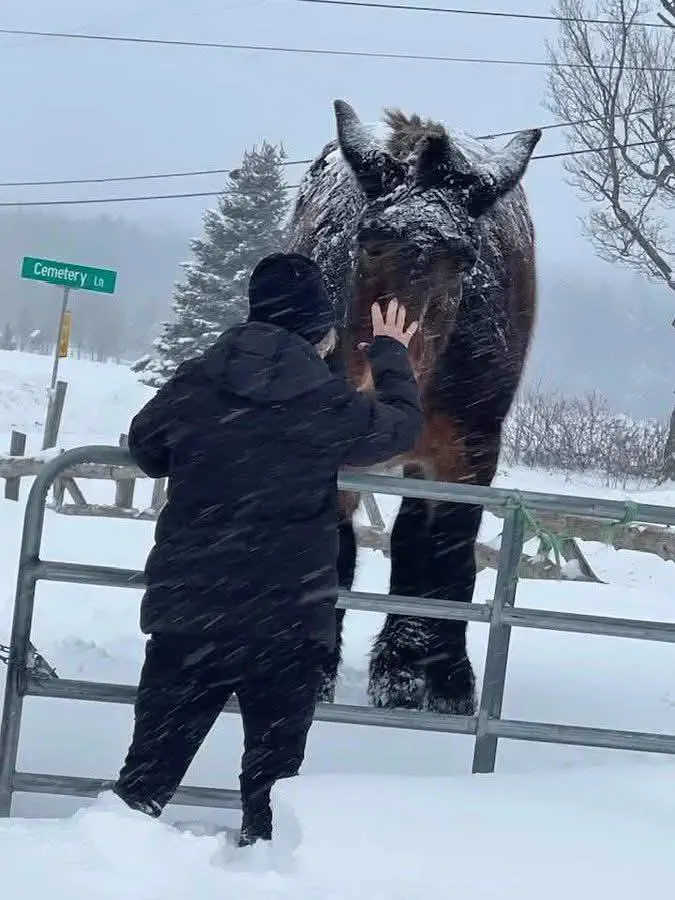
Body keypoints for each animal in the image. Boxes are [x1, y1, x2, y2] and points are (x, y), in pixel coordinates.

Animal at [286, 99, 541, 715]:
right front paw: (314, 673)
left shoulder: (468, 456)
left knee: (412, 540)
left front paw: (434, 678)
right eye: (368, 239)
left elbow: (447, 556)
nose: (378, 381)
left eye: (464, 258)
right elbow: (332, 552)